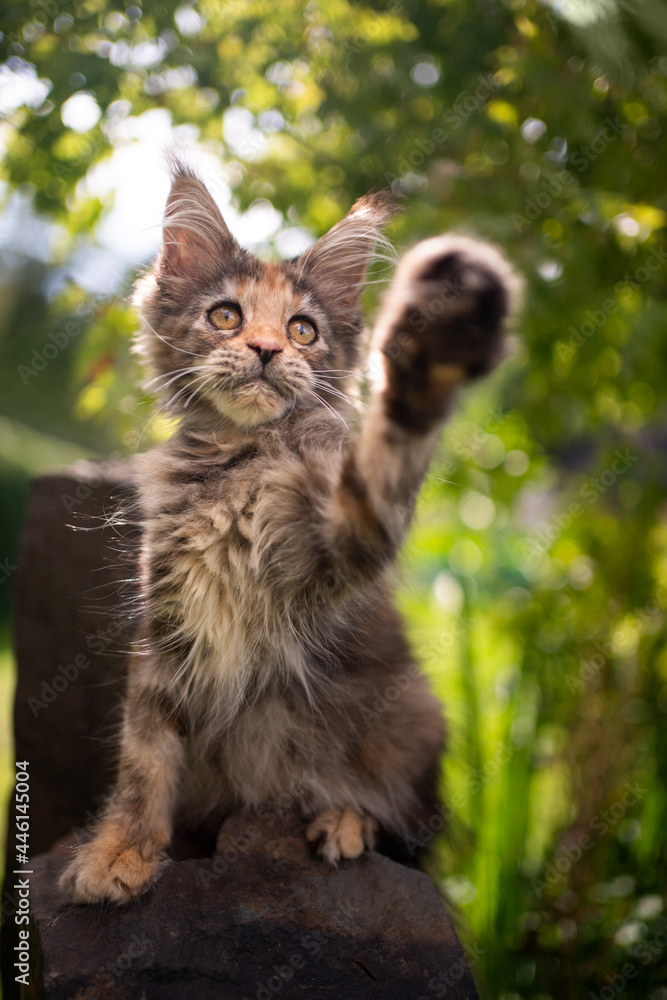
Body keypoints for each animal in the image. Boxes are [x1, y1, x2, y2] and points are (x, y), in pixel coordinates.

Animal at [58, 160, 516, 904]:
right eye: (226, 316)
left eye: (303, 330)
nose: (268, 350)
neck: (240, 464)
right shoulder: (165, 627)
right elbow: (143, 756)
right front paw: (121, 851)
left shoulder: (338, 548)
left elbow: (385, 461)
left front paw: (425, 359)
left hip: (414, 717)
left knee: (391, 814)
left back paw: (343, 820)